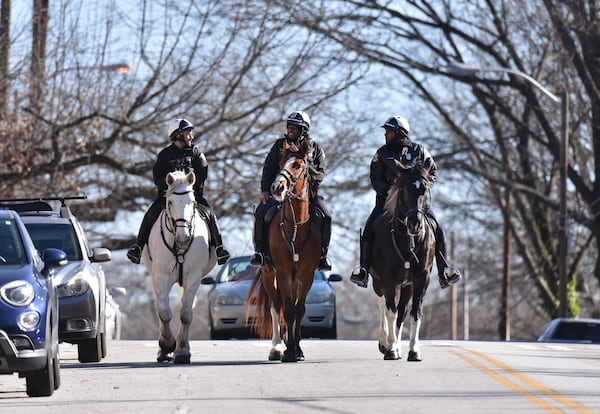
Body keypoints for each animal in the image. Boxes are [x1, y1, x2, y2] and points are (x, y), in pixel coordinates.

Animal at [142, 170, 217, 364]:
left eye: (192, 202)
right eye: (170, 202)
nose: (183, 237)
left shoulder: (194, 278)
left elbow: (185, 314)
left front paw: (182, 351)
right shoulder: (160, 277)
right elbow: (164, 312)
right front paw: (167, 345)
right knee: (160, 308)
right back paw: (163, 352)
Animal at [246, 140, 322, 362]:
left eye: (298, 165)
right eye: (280, 163)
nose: (276, 187)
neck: (296, 227)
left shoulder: (306, 275)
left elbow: (299, 310)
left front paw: (297, 349)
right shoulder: (283, 272)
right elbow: (287, 310)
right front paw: (288, 352)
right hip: (268, 274)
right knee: (276, 306)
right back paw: (277, 347)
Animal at [368, 163, 434, 360]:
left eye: (425, 188)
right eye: (404, 189)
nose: (415, 224)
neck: (408, 240)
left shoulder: (421, 279)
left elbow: (414, 313)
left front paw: (414, 351)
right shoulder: (388, 279)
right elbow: (390, 312)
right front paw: (390, 349)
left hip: (406, 285)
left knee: (402, 311)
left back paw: (398, 346)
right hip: (379, 282)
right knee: (383, 304)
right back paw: (385, 343)